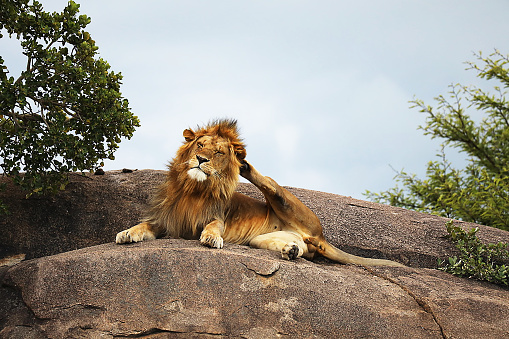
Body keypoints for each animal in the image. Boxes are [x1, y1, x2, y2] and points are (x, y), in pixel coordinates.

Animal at [116, 119, 404, 268]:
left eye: (217, 152)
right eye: (199, 145)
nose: (200, 159)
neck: (193, 189)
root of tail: (318, 236)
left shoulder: (217, 216)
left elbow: (213, 226)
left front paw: (210, 238)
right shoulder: (164, 221)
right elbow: (142, 225)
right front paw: (126, 233)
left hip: (285, 201)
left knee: (269, 182)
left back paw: (243, 164)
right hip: (261, 240)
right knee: (297, 247)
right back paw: (290, 251)